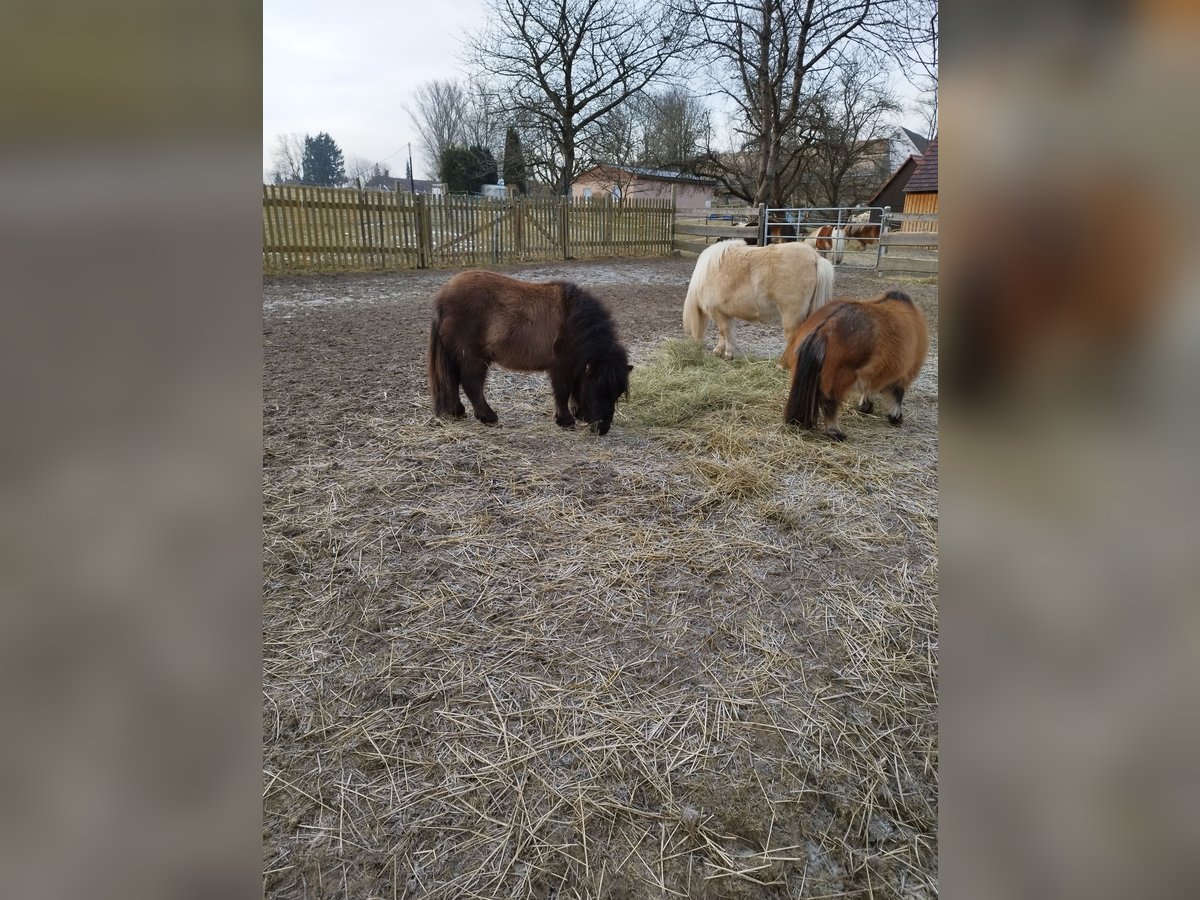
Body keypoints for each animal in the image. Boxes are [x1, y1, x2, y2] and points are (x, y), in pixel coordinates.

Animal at [427, 270, 633, 434]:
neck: (575, 321)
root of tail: (442, 296)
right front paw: (565, 420)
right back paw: (488, 417)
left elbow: (575, 388)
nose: (602, 429)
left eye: (617, 394)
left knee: (453, 380)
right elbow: (562, 391)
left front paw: (578, 413)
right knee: (471, 384)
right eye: (596, 389)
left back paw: (457, 411)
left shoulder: (577, 365)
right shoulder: (562, 366)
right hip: (472, 357)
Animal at [681, 243, 840, 367]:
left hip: (791, 314)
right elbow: (725, 333)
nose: (696, 345)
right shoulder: (726, 314)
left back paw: (781, 365)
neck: (704, 277)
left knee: (793, 337)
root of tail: (815, 258)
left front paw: (727, 353)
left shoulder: (719, 312)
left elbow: (724, 331)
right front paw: (719, 350)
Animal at [782, 290, 931, 441]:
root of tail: (824, 328)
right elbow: (897, 394)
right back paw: (836, 432)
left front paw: (866, 406)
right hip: (838, 378)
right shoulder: (904, 374)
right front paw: (895, 417)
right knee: (829, 402)